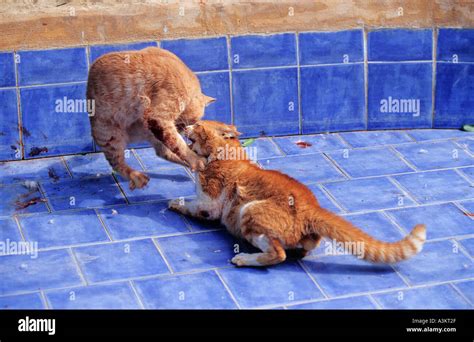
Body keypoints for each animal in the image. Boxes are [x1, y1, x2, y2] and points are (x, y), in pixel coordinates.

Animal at [168, 120, 428, 268]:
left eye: (198, 124)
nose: (185, 126)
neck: (225, 153)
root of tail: (312, 209)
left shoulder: (209, 202)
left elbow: (191, 204)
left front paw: (174, 203)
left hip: (248, 212)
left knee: (278, 253)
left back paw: (245, 259)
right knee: (299, 251)